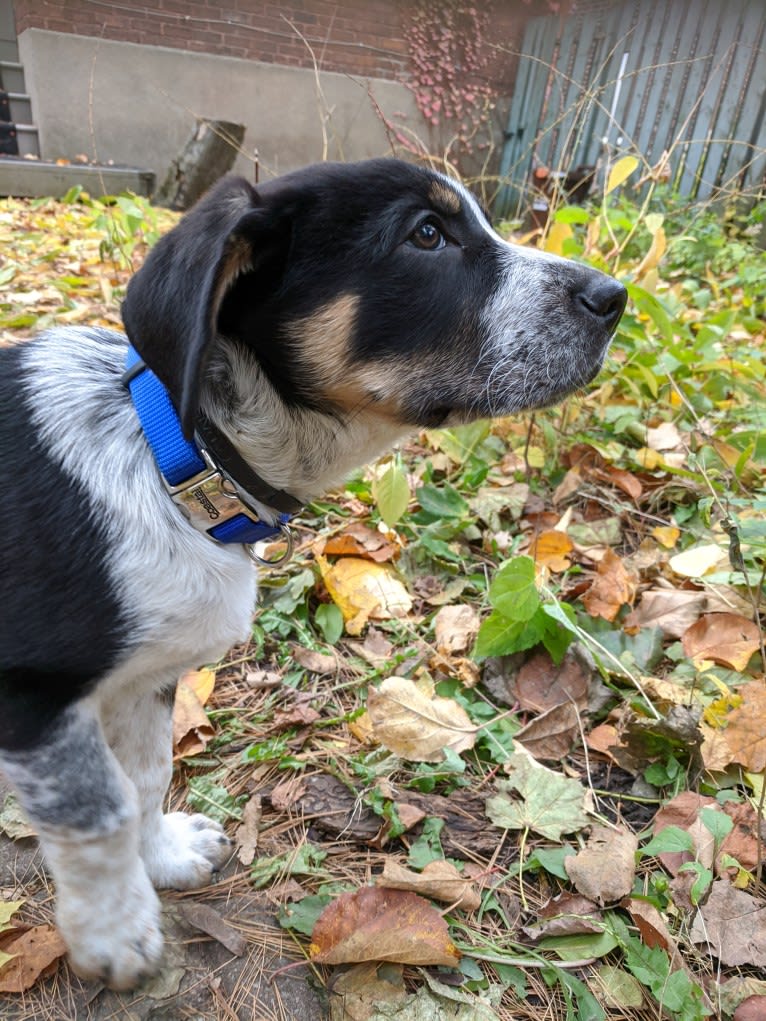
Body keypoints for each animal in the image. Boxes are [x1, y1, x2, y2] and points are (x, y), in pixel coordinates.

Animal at [0, 155, 625, 984]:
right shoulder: (33, 693)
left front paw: (163, 857)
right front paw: (117, 931)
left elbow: (146, 774)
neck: (177, 458)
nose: (615, 298)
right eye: (427, 234)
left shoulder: (144, 676)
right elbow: (99, 810)